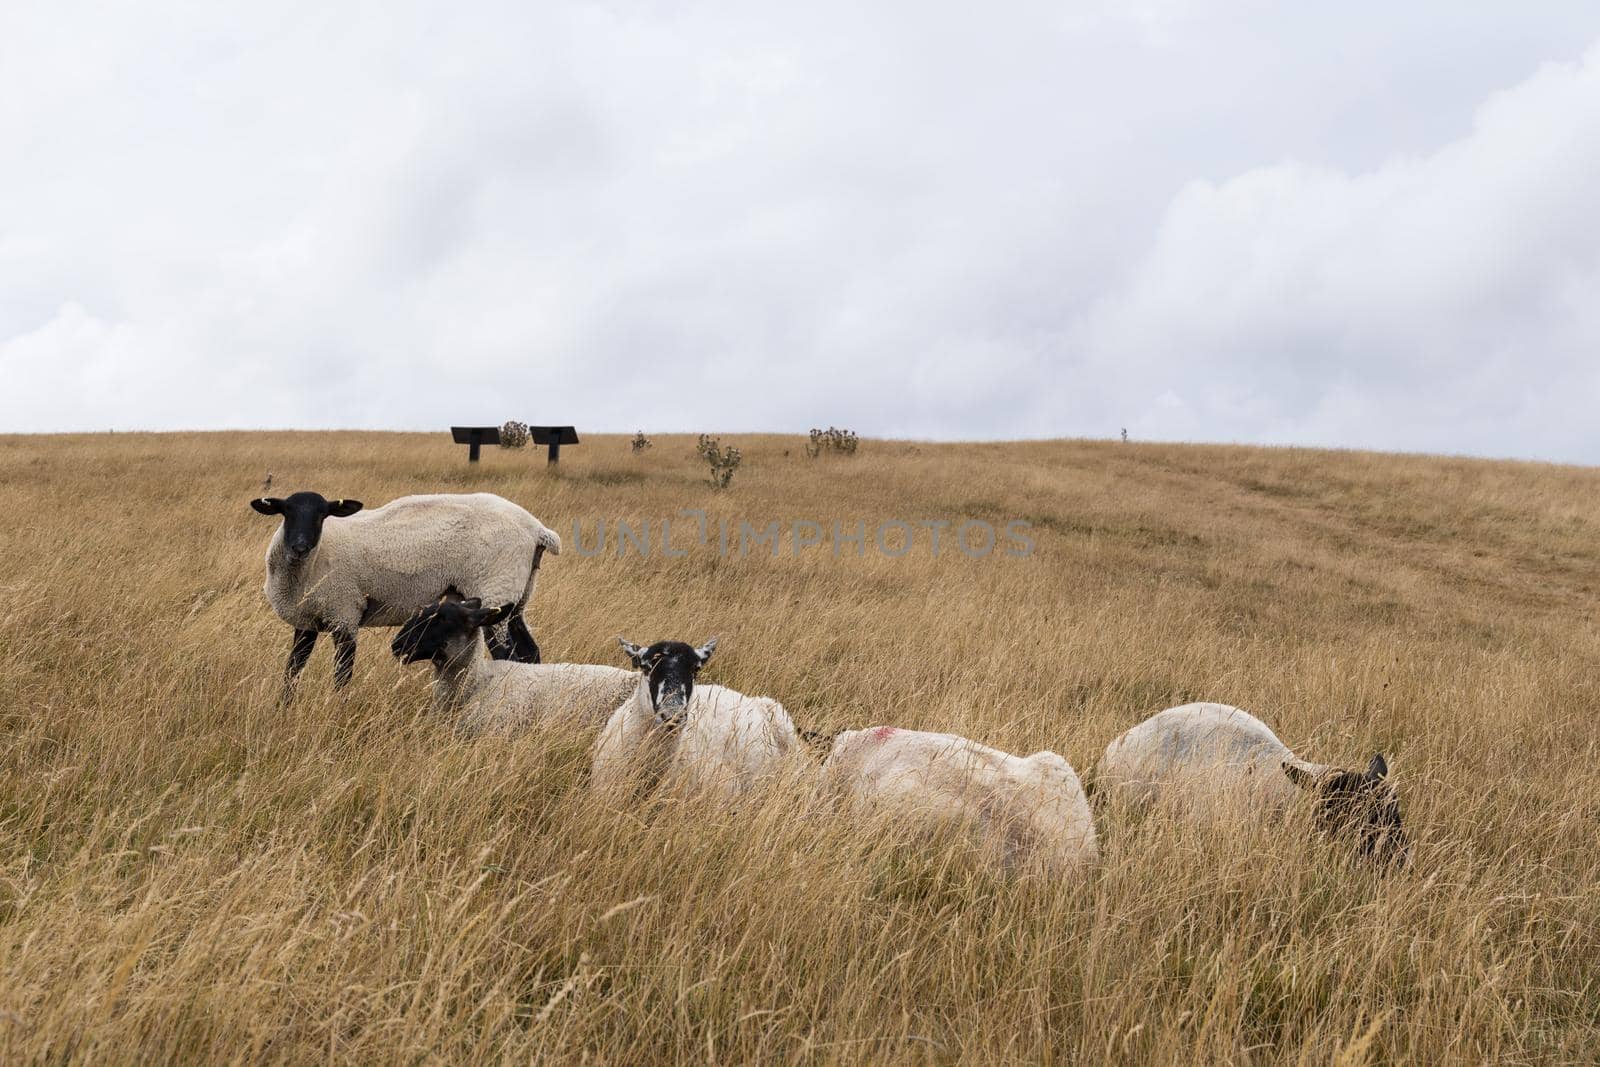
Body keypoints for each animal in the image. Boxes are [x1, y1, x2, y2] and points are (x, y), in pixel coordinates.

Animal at [251, 492, 563, 700]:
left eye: (321, 514)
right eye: (286, 512)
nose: (300, 546)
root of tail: (538, 530)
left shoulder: (344, 613)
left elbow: (342, 674)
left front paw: (337, 710)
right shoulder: (306, 620)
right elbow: (293, 669)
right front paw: (284, 709)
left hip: (494, 589)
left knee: (507, 654)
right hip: (516, 597)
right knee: (529, 652)